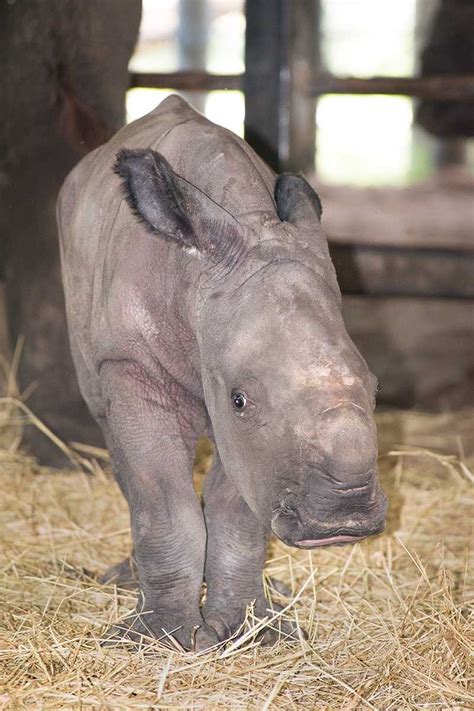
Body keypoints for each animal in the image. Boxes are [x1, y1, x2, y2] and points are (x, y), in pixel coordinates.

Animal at [57, 94, 386, 652]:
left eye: (376, 389)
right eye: (239, 398)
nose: (343, 522)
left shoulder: (255, 443)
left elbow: (238, 508)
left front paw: (252, 632)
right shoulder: (134, 365)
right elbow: (161, 499)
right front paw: (160, 640)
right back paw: (125, 583)